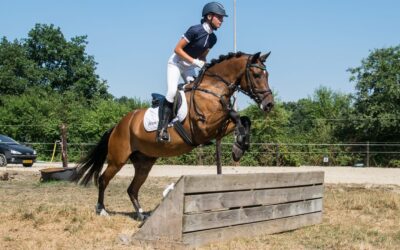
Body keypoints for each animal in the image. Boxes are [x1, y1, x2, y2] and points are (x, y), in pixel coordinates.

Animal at [73, 51, 274, 220]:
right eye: (257, 75)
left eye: (267, 75)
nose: (269, 104)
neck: (212, 88)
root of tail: (118, 126)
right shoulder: (204, 127)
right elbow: (235, 114)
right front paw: (238, 145)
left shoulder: (217, 126)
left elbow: (244, 119)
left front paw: (240, 145)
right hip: (118, 159)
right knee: (103, 179)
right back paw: (102, 210)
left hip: (144, 162)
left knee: (132, 189)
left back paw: (141, 215)